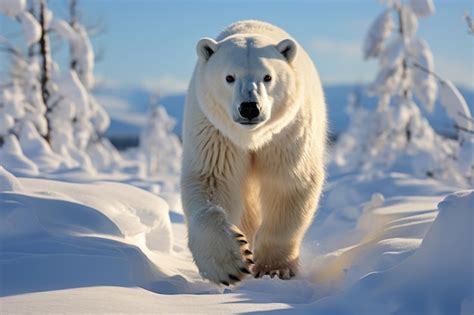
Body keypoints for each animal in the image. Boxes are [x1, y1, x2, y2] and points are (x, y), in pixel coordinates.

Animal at [181, 19, 326, 286]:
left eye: (268, 76)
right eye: (229, 77)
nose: (249, 108)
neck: (251, 137)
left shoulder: (285, 134)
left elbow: (286, 183)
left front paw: (274, 268)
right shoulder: (216, 132)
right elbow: (211, 180)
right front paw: (232, 263)